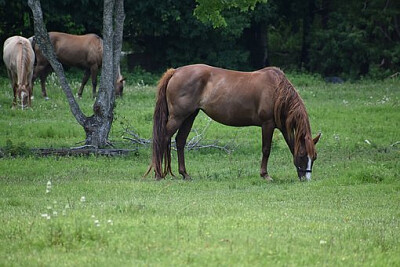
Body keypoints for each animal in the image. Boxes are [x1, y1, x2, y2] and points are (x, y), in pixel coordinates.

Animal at [148, 64, 322, 182]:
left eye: (314, 157)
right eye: (302, 155)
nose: (306, 179)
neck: (276, 90)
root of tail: (175, 72)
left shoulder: (283, 127)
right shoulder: (267, 124)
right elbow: (266, 149)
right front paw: (265, 175)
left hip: (189, 116)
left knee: (180, 141)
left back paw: (184, 174)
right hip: (178, 117)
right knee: (163, 138)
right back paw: (158, 174)